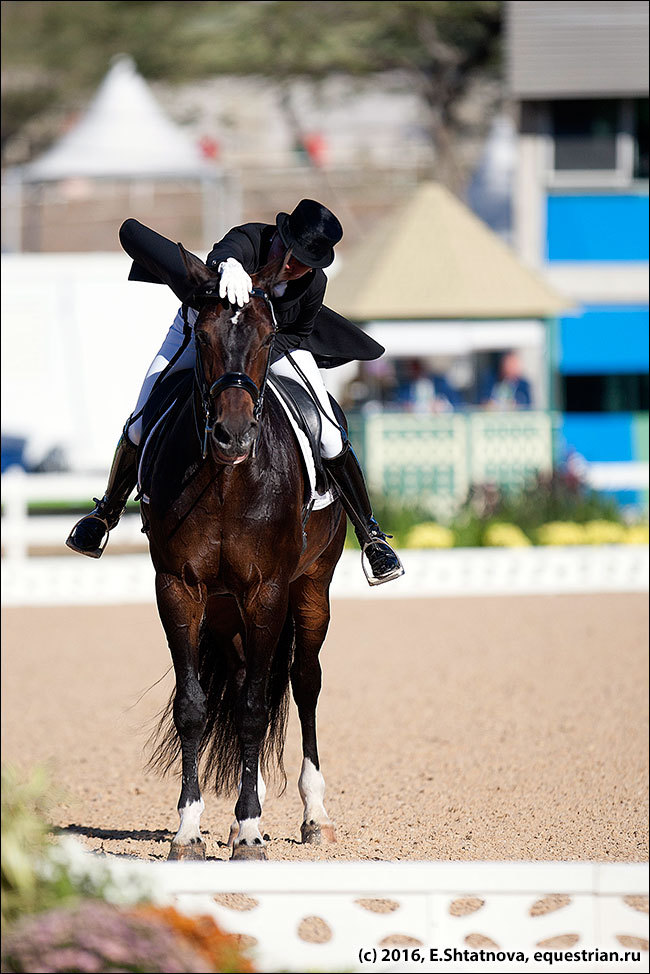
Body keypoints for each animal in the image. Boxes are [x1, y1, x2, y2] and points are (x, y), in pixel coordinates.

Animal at [140, 246, 346, 860]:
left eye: (265, 336)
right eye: (203, 335)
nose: (233, 436)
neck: (228, 482)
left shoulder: (269, 591)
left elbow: (256, 708)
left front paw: (252, 829)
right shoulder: (178, 588)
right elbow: (194, 706)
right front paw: (189, 829)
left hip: (312, 587)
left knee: (304, 680)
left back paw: (314, 814)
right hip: (225, 607)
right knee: (235, 681)